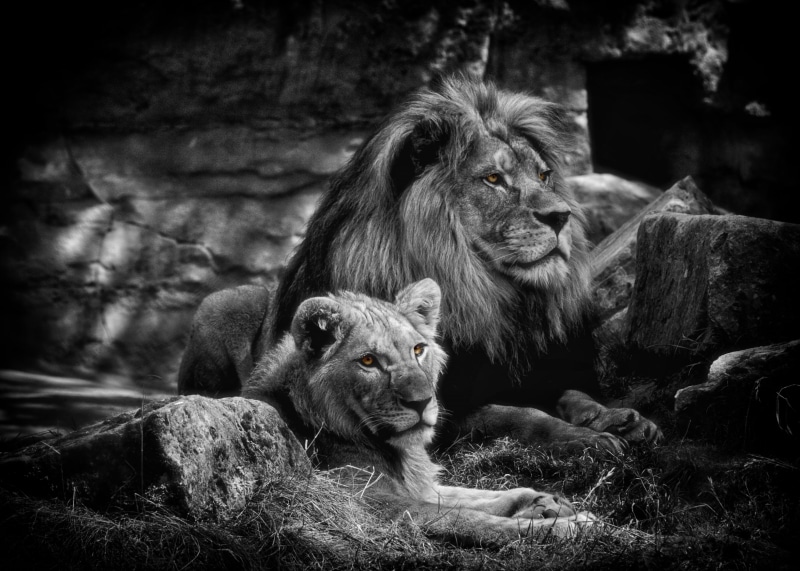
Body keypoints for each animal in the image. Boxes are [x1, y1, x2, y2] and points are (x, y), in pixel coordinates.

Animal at [179, 73, 659, 452]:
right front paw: (584, 439)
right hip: (222, 302)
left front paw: (616, 417)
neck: (487, 297)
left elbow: (571, 393)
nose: (561, 217)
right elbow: (519, 415)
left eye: (543, 176)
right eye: (493, 179)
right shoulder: (438, 413)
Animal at [242, 278, 596, 542]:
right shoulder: (362, 505)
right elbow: (464, 517)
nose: (422, 401)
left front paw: (544, 501)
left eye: (418, 350)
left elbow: (475, 495)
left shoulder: (418, 487)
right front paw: (565, 527)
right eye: (368, 360)